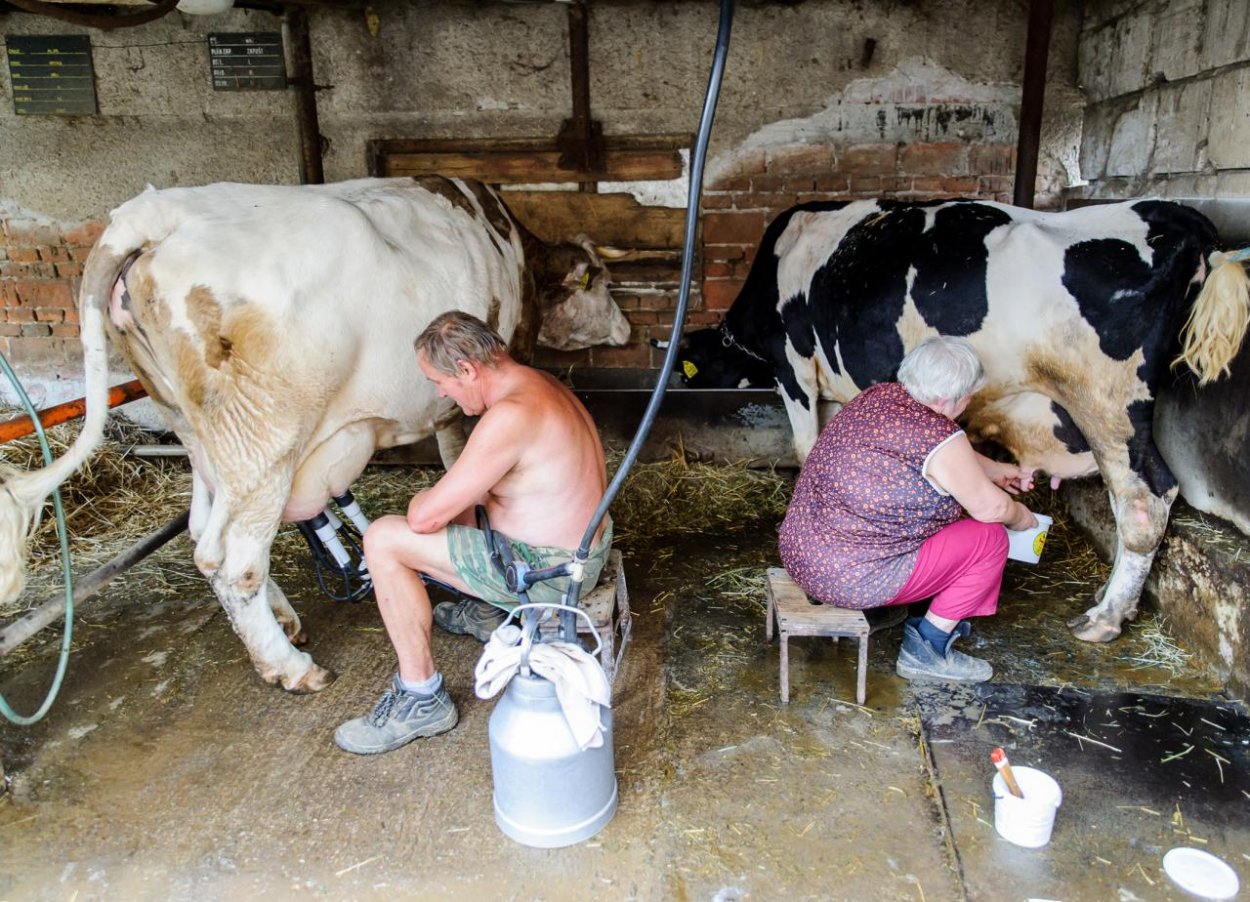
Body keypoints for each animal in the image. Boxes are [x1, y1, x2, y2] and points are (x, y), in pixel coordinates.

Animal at [0, 177, 630, 694]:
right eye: (600, 284)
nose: (625, 328)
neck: (507, 245)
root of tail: (151, 212)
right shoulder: (460, 410)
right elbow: (462, 485)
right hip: (265, 439)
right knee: (233, 557)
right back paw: (289, 667)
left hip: (198, 431)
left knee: (205, 535)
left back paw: (283, 622)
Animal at [685, 199, 1250, 644]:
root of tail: (1175, 215)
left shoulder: (794, 368)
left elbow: (806, 451)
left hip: (1109, 404)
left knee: (1143, 500)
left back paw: (1104, 617)